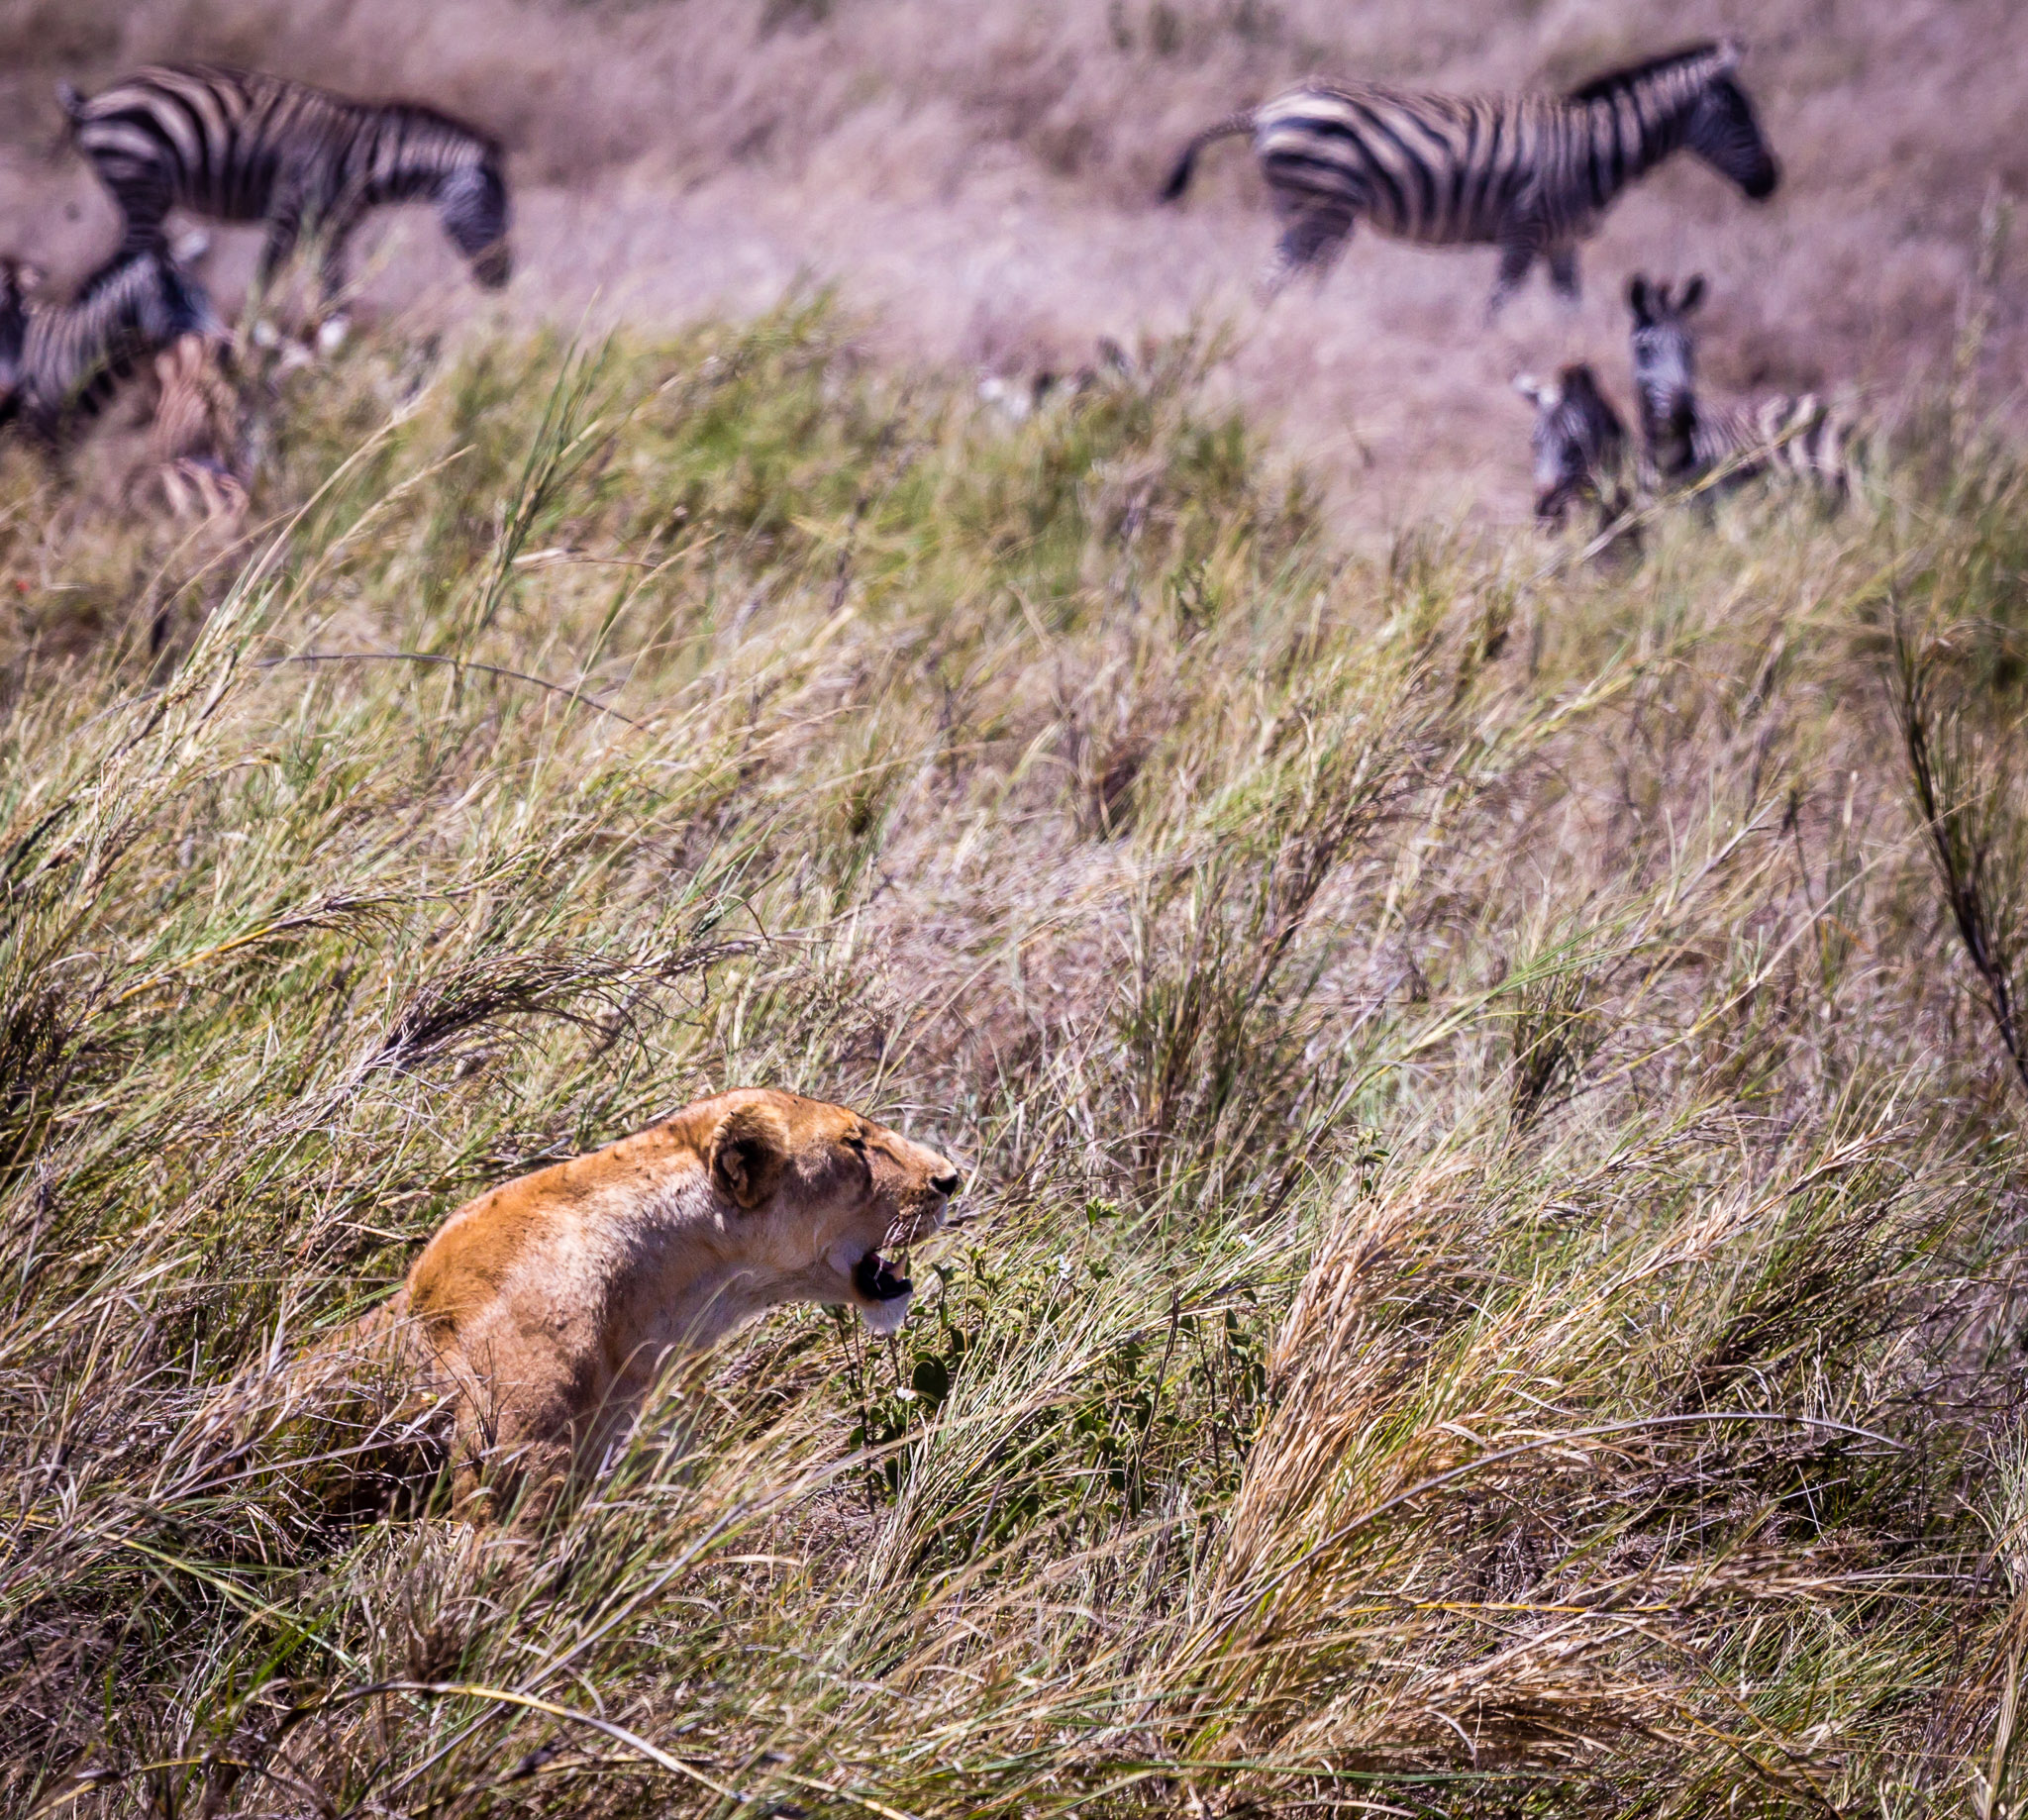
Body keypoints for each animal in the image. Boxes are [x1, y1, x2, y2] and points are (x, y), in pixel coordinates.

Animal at [60, 62, 515, 312]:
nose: (504, 279)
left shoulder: (332, 231)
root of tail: (93, 103)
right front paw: (248, 347)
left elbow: (334, 298)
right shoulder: (287, 215)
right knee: (103, 279)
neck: (363, 160)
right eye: (493, 211)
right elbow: (264, 285)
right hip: (140, 187)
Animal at [1160, 37, 1776, 314]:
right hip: (1325, 210)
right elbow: (1495, 309)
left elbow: (1569, 314)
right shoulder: (1524, 231)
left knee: (1276, 280)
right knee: (1285, 278)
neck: (1596, 149)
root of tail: (1267, 109)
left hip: (1303, 211)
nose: (1771, 183)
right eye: (1741, 118)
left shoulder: (1563, 244)